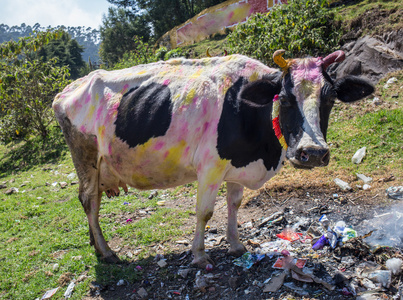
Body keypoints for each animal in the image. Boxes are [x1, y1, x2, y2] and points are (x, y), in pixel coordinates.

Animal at [52, 49, 376, 268]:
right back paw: (107, 252)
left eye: (330, 98)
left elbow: (234, 205)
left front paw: (236, 245)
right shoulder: (209, 167)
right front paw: (199, 255)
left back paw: (97, 247)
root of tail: (66, 90)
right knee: (89, 201)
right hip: (86, 159)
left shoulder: (238, 167)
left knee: (92, 203)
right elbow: (205, 213)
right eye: (284, 98)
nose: (314, 153)